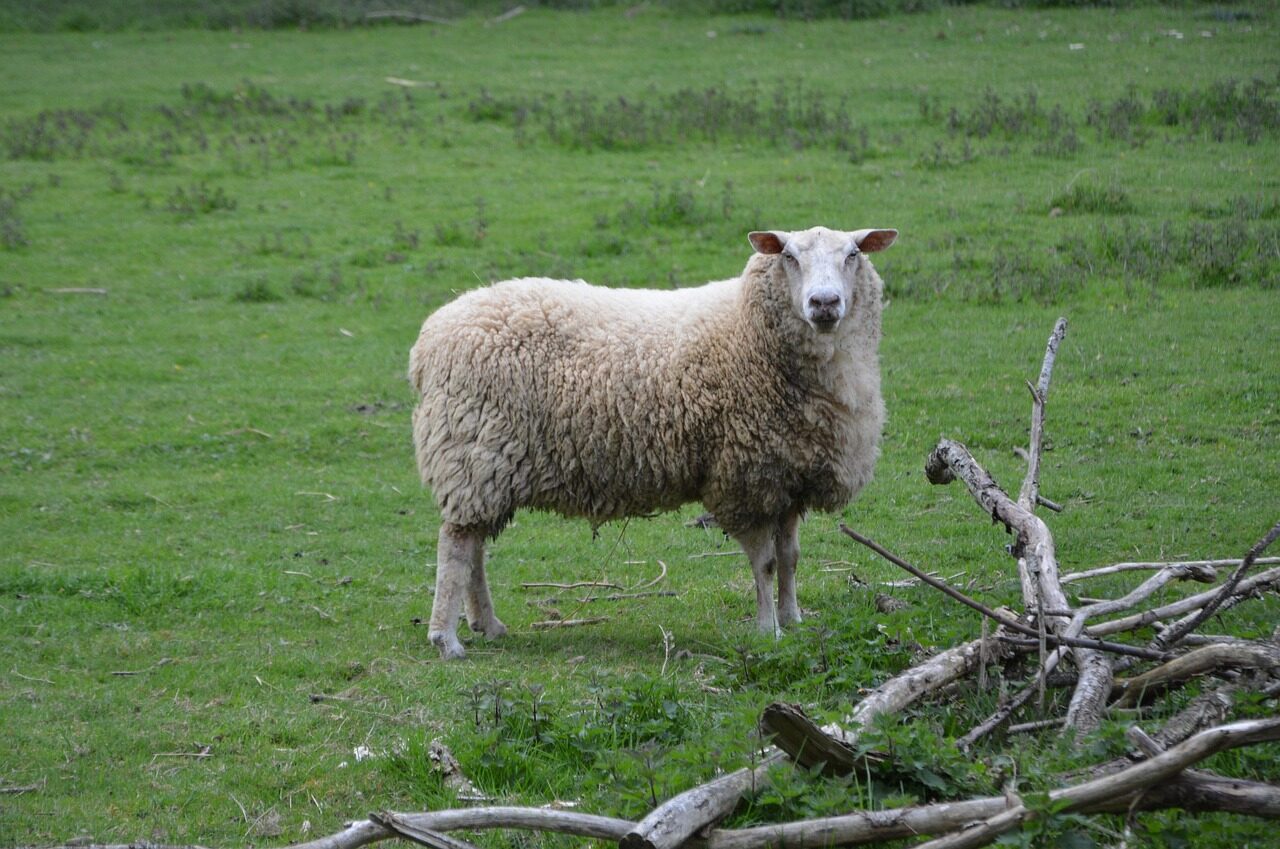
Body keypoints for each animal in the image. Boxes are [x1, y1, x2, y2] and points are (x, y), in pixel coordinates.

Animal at [409, 226, 898, 659]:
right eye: (789, 256)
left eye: (853, 254)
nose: (824, 303)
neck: (748, 330)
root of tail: (431, 336)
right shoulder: (746, 478)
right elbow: (765, 563)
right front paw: (768, 630)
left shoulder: (789, 477)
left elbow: (791, 557)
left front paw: (793, 618)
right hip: (472, 452)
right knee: (456, 546)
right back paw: (446, 639)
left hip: (489, 465)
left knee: (474, 546)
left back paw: (486, 624)